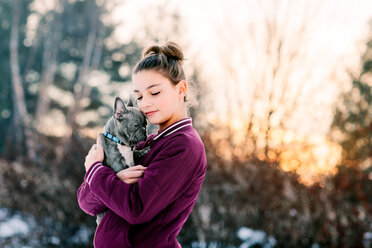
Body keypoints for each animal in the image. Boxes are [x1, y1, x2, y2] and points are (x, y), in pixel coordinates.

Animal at [96, 96, 150, 224]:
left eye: (146, 124)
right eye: (136, 125)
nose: (145, 130)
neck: (121, 143)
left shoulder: (132, 155)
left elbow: (136, 153)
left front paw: (144, 150)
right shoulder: (118, 166)